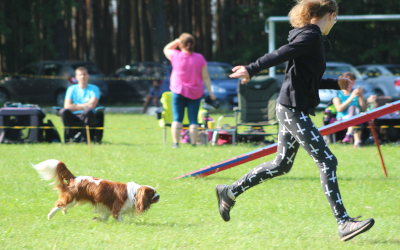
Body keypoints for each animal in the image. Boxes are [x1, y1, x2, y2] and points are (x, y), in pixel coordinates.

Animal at [31, 159, 159, 222]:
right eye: (152, 194)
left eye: (155, 193)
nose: (159, 196)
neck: (135, 194)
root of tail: (74, 178)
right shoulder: (116, 208)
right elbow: (119, 218)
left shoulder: (108, 207)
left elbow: (105, 217)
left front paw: (97, 219)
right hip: (71, 198)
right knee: (59, 205)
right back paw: (50, 216)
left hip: (73, 200)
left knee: (64, 206)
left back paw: (64, 212)